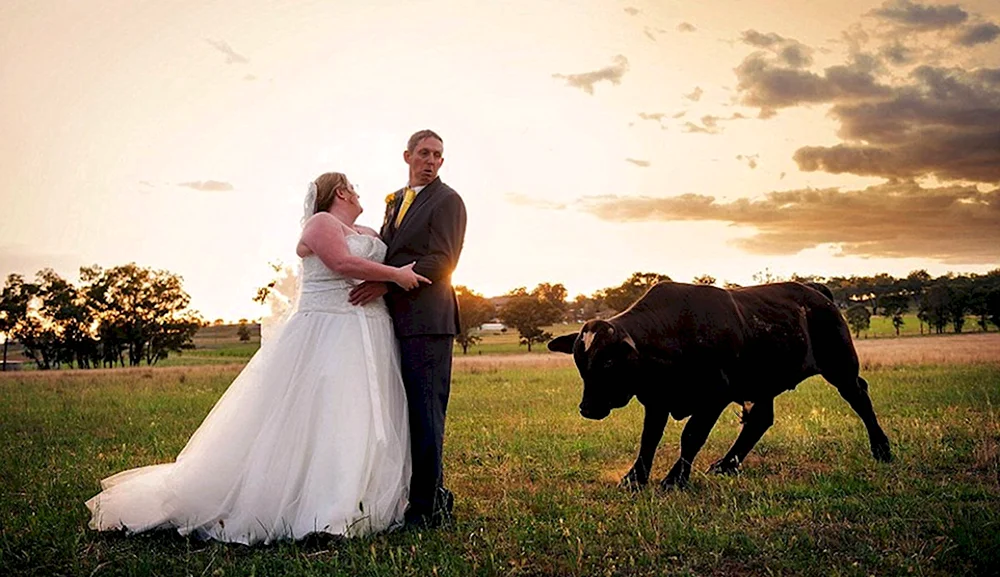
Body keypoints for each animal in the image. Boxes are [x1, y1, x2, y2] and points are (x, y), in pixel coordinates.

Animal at [548, 282, 892, 488]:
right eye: (579, 361)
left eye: (608, 361)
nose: (589, 408)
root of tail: (815, 291)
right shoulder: (657, 400)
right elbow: (649, 439)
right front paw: (635, 478)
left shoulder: (715, 396)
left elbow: (691, 437)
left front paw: (675, 479)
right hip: (764, 383)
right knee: (760, 420)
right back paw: (728, 464)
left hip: (841, 367)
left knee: (860, 397)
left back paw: (882, 449)